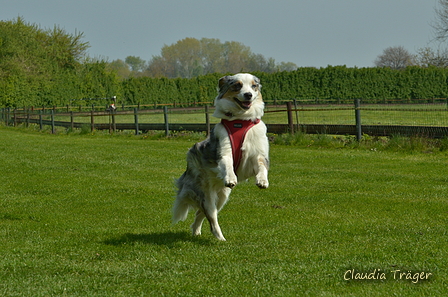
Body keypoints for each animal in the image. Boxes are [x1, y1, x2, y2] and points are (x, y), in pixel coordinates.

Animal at [172, 73, 270, 239]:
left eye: (253, 86)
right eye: (237, 86)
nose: (248, 95)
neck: (240, 121)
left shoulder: (257, 154)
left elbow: (262, 166)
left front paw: (262, 181)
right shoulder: (224, 150)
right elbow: (228, 163)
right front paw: (230, 178)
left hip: (222, 196)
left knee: (200, 213)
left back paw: (196, 232)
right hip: (206, 194)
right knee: (211, 217)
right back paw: (221, 239)